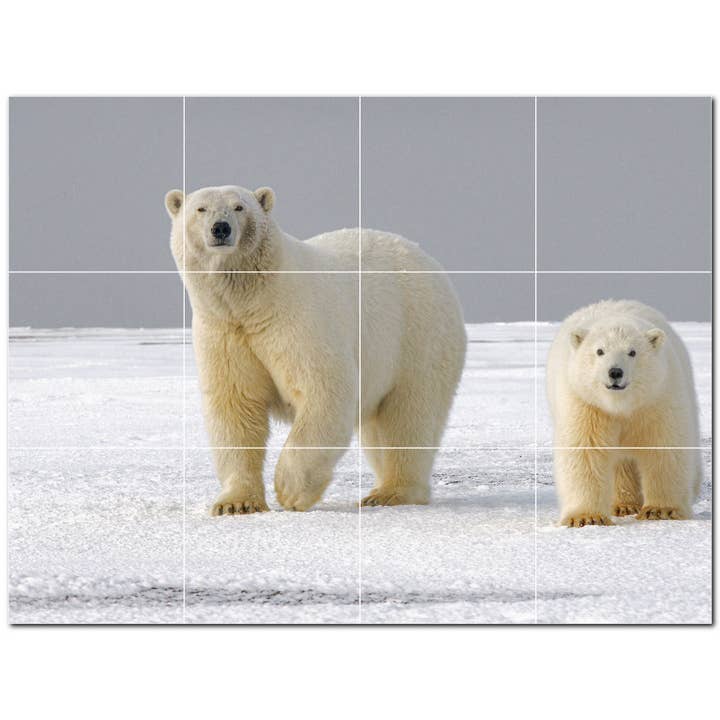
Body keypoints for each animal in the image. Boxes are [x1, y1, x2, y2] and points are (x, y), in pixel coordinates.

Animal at [165, 185, 466, 514]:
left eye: (239, 207)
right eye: (201, 209)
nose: (221, 228)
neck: (253, 301)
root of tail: (427, 259)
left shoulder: (296, 320)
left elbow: (324, 390)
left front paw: (289, 490)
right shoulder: (224, 332)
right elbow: (235, 407)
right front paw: (236, 503)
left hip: (417, 335)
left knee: (409, 416)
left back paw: (391, 493)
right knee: (379, 428)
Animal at [546, 299, 701, 527]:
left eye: (632, 352)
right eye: (599, 351)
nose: (615, 372)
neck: (621, 405)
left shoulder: (658, 397)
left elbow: (664, 446)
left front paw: (660, 510)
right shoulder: (585, 403)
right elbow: (585, 451)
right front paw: (587, 517)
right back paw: (623, 505)